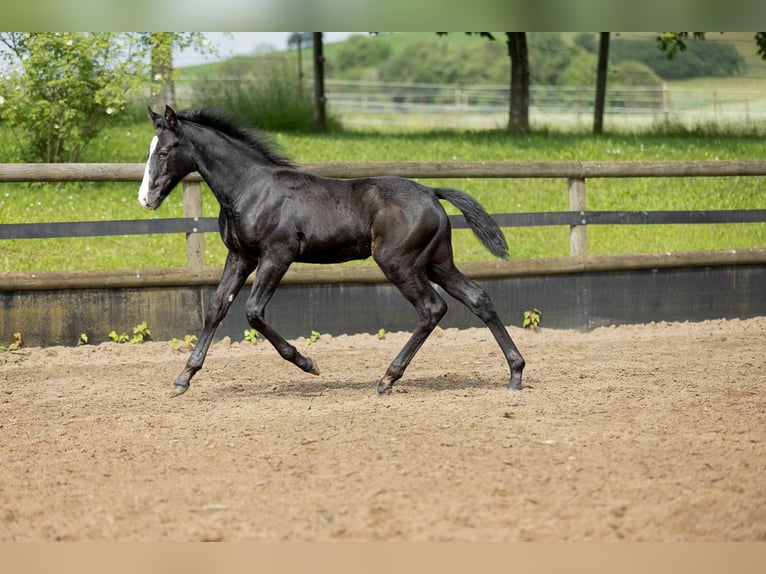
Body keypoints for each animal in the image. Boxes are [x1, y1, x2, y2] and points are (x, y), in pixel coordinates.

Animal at [138, 106, 524, 398]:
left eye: (163, 152)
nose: (146, 198)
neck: (251, 189)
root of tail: (431, 192)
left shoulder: (277, 255)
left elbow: (253, 311)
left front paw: (308, 364)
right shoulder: (240, 256)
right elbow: (216, 308)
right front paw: (183, 378)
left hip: (399, 263)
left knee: (432, 308)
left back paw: (387, 378)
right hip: (437, 263)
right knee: (477, 298)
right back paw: (516, 373)